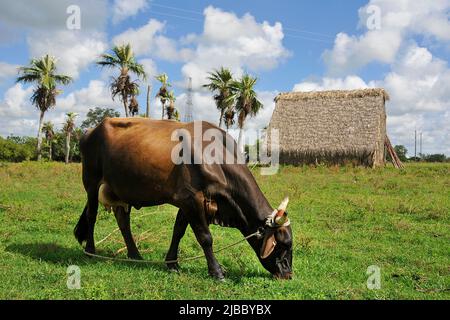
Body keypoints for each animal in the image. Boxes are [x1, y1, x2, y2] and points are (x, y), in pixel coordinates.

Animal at [74, 118, 292, 280]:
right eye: (283, 244)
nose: (287, 274)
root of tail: (90, 131)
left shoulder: (189, 202)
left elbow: (178, 230)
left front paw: (172, 263)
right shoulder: (191, 199)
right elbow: (205, 237)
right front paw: (217, 271)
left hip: (121, 190)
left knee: (123, 221)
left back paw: (135, 254)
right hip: (91, 183)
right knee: (92, 215)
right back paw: (91, 251)